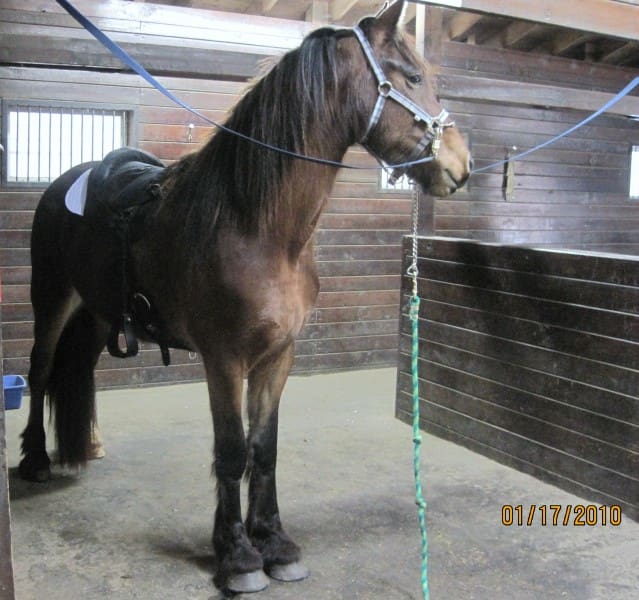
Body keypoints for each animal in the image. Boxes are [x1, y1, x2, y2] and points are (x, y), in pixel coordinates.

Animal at [20, 0, 472, 592]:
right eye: (414, 78)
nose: (461, 165)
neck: (256, 227)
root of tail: (67, 183)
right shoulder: (224, 358)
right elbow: (232, 451)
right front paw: (236, 555)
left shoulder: (277, 356)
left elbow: (265, 449)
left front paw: (275, 543)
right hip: (51, 300)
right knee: (40, 371)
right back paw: (33, 460)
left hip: (97, 314)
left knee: (80, 369)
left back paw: (87, 444)